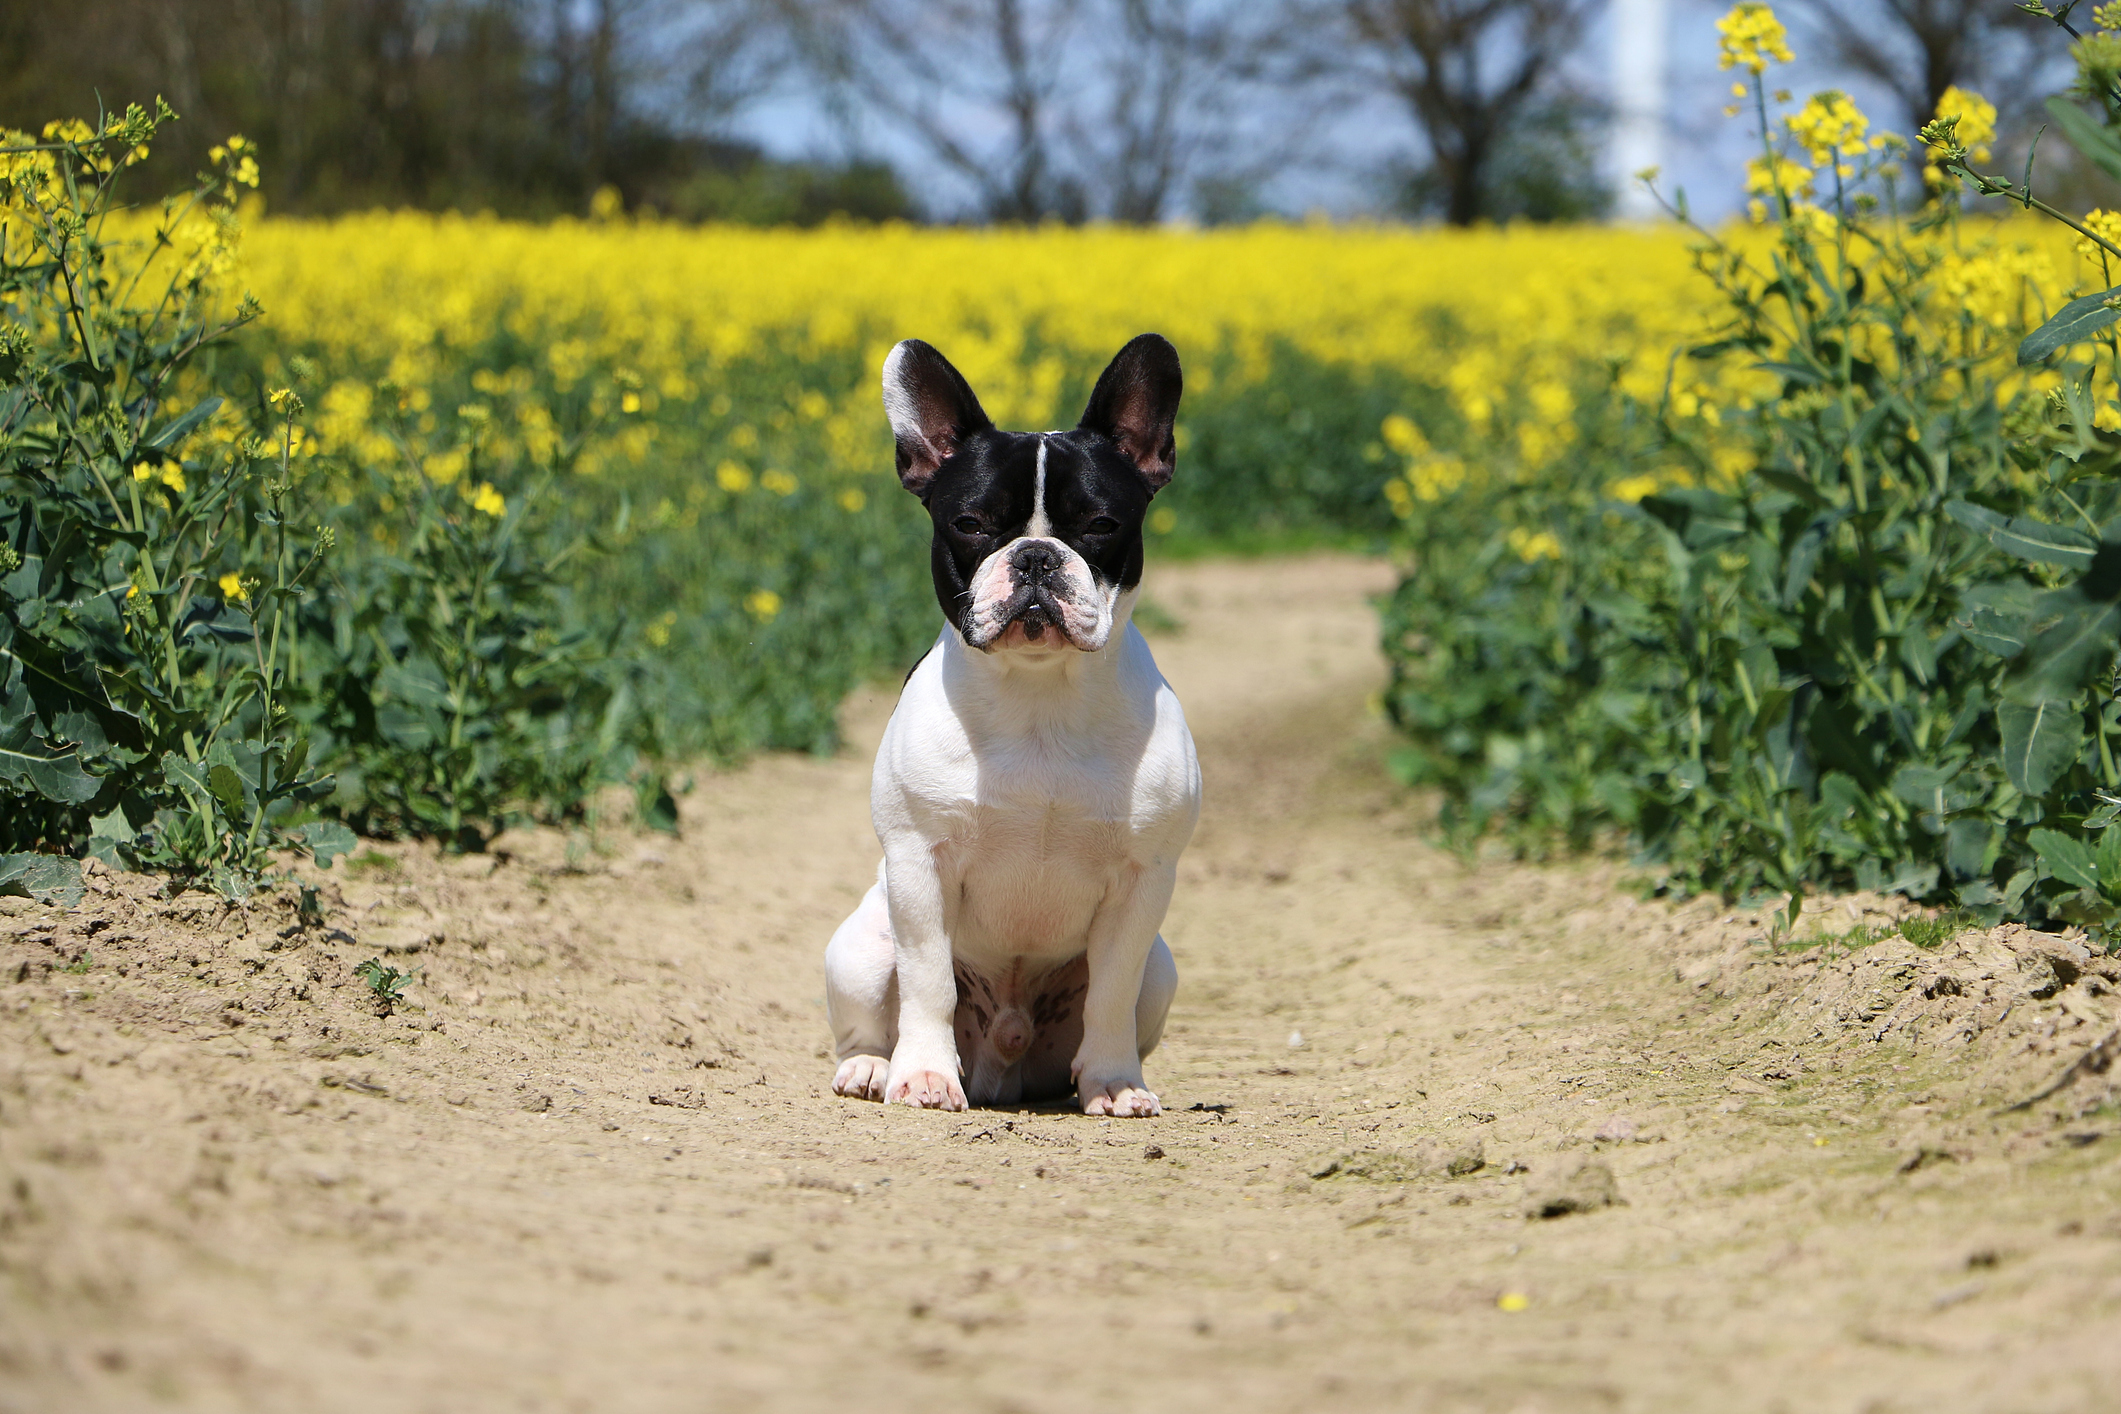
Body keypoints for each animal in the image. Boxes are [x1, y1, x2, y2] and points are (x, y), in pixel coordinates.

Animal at [822, 334, 1204, 1119]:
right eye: (970, 524)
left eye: (1100, 525)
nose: (1034, 556)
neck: (1038, 697)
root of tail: (1005, 1060)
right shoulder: (919, 862)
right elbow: (928, 981)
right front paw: (924, 1077)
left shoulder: (1143, 881)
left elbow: (1110, 991)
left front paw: (1116, 1083)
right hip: (862, 944)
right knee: (867, 1019)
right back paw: (872, 1069)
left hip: (1162, 968)